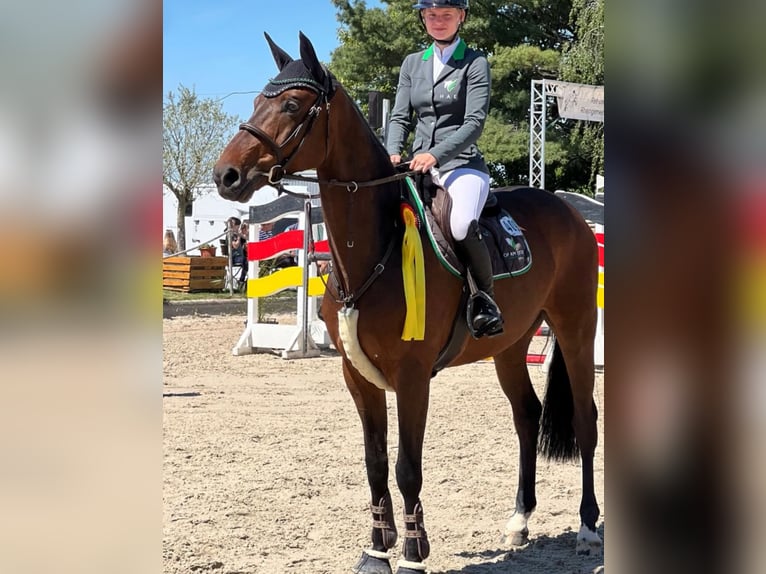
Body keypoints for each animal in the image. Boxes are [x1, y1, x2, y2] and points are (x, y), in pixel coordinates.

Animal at [213, 32, 601, 574]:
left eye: (290, 105)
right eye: (254, 103)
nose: (225, 175)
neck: (376, 248)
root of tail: (569, 211)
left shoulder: (413, 376)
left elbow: (407, 468)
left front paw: (415, 553)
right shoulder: (357, 377)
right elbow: (375, 465)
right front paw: (377, 550)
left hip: (575, 327)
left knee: (586, 419)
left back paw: (587, 527)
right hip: (509, 345)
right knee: (527, 416)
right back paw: (519, 520)